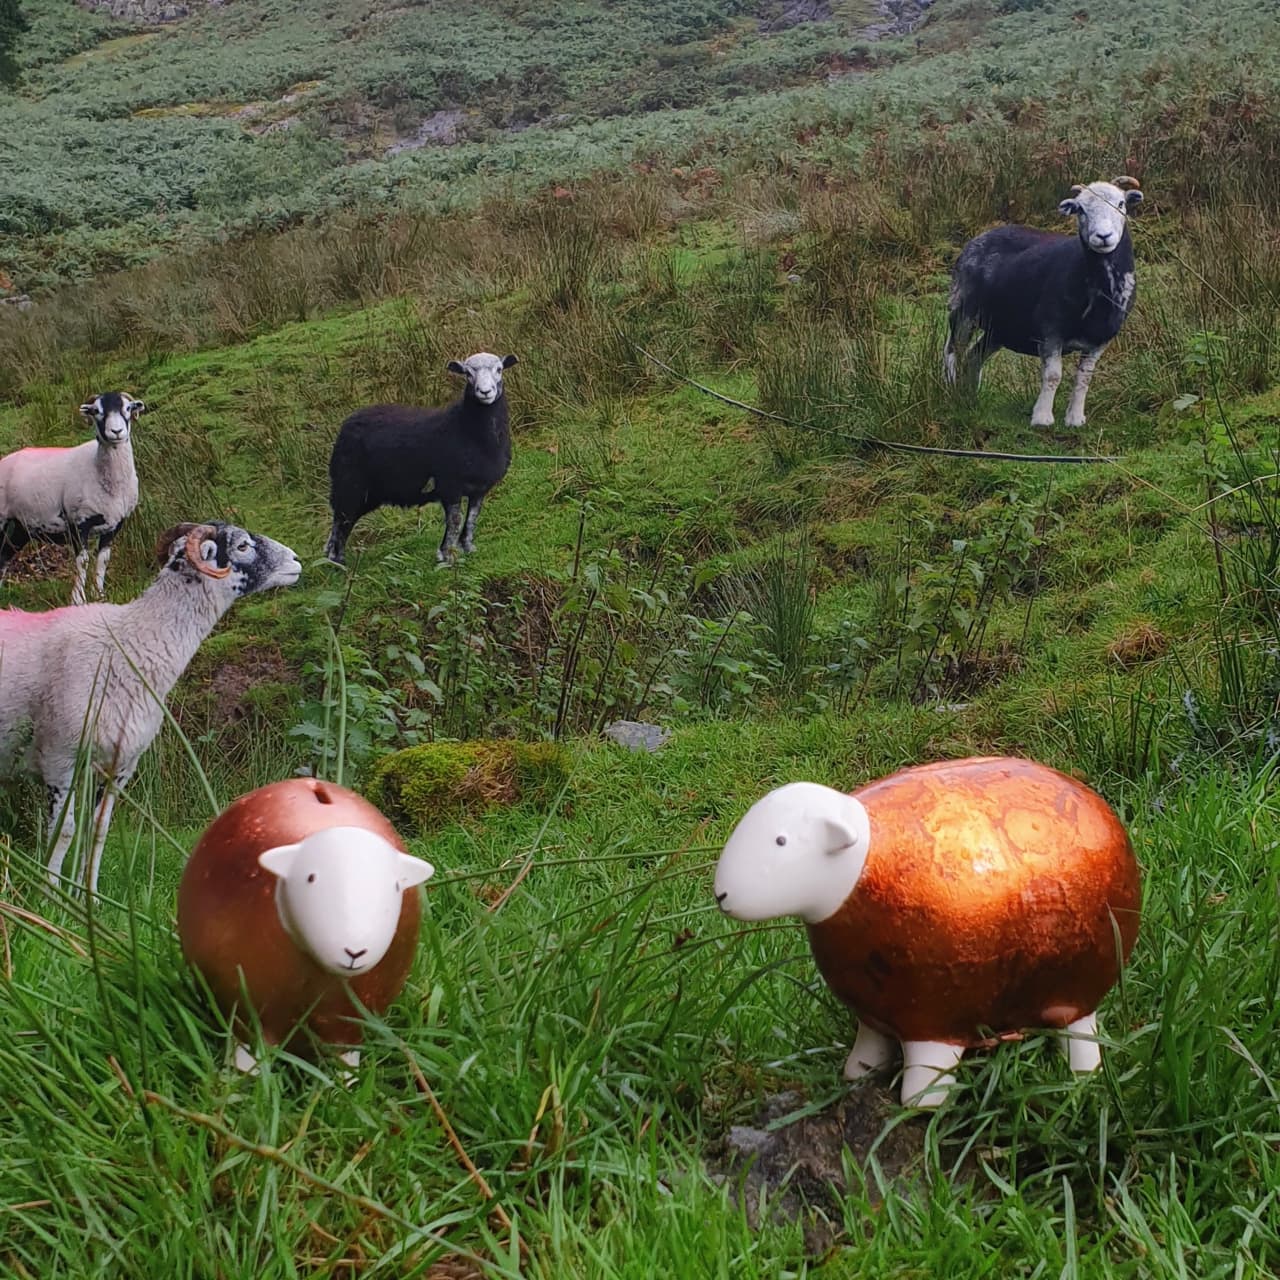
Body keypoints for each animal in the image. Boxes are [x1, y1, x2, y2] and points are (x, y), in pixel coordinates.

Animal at [0, 389, 146, 604]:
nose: (117, 432)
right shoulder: (79, 523)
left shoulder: (115, 525)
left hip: (21, 526)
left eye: (128, 408)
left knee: (3, 556)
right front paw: (78, 599)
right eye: (96, 411)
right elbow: (83, 562)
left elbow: (103, 560)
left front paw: (99, 595)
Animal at [0, 517, 302, 890]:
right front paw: (50, 893)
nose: (296, 561)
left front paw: (90, 894)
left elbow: (98, 831)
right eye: (243, 545)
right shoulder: (59, 754)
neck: (131, 642)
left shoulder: (122, 763)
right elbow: (64, 831)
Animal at [325, 353, 519, 568]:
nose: (485, 392)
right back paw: (337, 562)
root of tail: (347, 424)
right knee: (342, 520)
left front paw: (468, 549)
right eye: (467, 374)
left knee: (342, 521)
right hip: (349, 483)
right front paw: (447, 556)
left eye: (499, 369)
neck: (465, 427)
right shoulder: (449, 485)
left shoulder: (480, 489)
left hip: (369, 493)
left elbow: (471, 519)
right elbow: (455, 520)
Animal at [947, 175, 1146, 430]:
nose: (1103, 237)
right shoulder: (1051, 329)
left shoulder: (1100, 339)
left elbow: (1084, 378)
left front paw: (1075, 418)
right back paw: (948, 393)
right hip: (963, 310)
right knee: (953, 351)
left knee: (973, 357)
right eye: (1080, 209)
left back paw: (971, 398)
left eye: (1121, 203)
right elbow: (1053, 376)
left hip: (999, 328)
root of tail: (979, 238)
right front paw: (1042, 418)